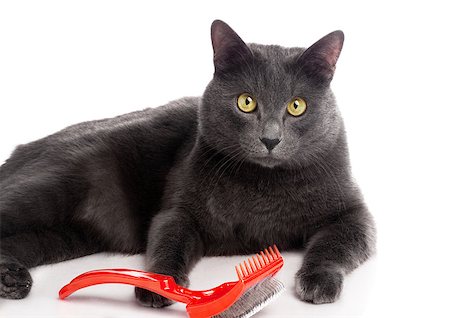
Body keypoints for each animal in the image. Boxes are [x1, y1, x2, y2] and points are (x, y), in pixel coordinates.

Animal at [0, 20, 376, 308]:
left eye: (297, 106)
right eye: (246, 102)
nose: (270, 139)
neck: (264, 187)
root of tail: (18, 150)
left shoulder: (356, 214)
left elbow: (334, 244)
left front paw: (318, 281)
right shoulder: (179, 210)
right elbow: (169, 241)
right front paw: (157, 287)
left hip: (62, 235)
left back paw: (12, 279)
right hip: (50, 188)